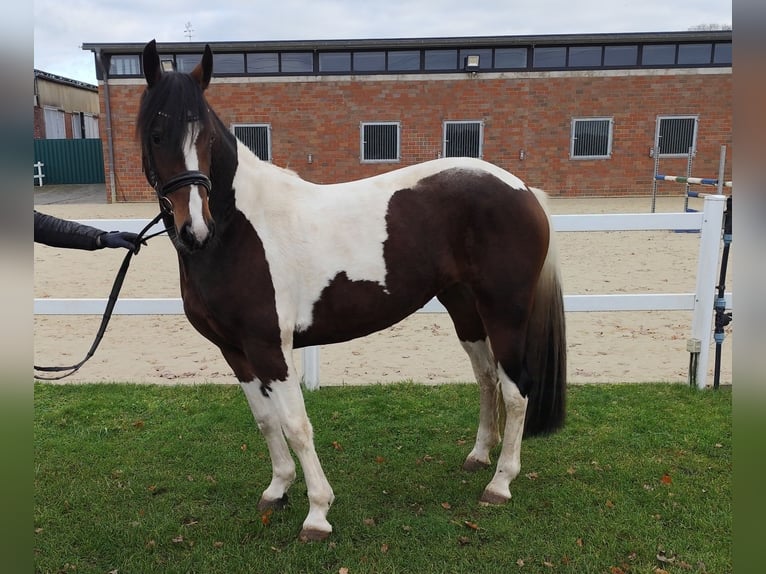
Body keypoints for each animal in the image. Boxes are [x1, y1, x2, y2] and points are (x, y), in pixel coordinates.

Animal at [138, 38, 568, 544]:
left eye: (205, 138)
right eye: (156, 135)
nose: (194, 230)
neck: (236, 230)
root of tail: (523, 189)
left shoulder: (270, 348)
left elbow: (296, 425)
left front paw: (317, 513)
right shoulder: (235, 351)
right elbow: (265, 420)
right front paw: (277, 489)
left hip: (505, 311)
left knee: (516, 390)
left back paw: (500, 483)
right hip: (466, 309)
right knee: (486, 379)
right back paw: (479, 456)